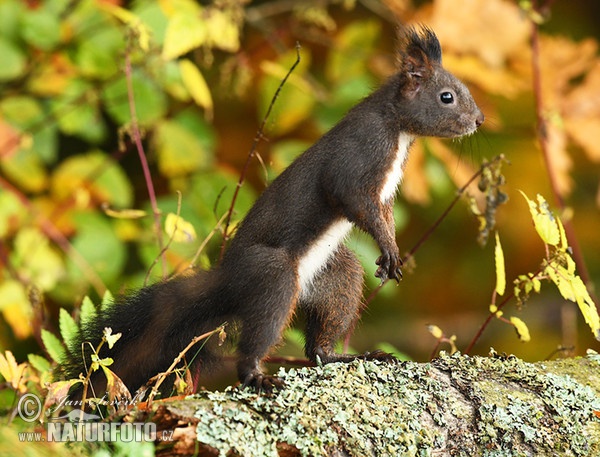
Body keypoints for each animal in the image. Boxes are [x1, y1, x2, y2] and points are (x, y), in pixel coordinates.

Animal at [61, 25, 482, 396]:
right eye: (447, 97)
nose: (479, 120)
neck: (397, 127)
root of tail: (227, 281)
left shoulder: (385, 194)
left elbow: (385, 215)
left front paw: (392, 247)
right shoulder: (359, 155)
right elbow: (352, 198)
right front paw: (389, 249)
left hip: (337, 278)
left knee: (318, 346)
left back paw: (349, 357)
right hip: (273, 276)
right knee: (258, 336)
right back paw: (256, 376)